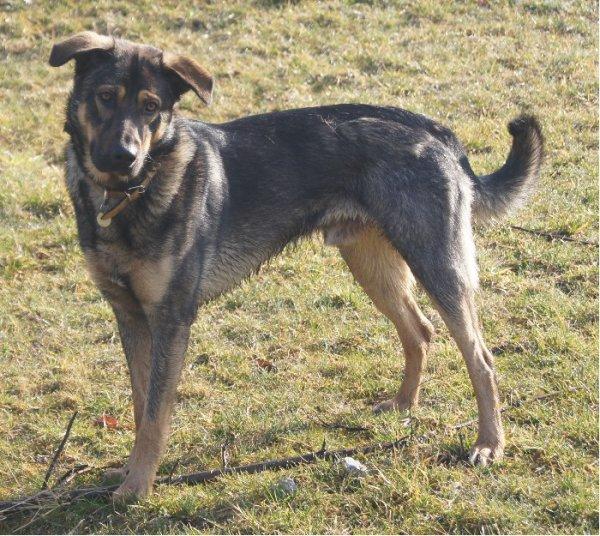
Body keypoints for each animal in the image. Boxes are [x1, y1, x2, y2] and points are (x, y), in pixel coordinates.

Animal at [48, 31, 544, 500]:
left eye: (150, 106)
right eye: (105, 96)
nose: (123, 156)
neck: (128, 195)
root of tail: (440, 133)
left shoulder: (171, 319)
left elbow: (154, 413)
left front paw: (137, 488)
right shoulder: (131, 315)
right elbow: (140, 404)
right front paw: (131, 471)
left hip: (436, 265)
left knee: (481, 358)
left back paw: (489, 444)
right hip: (372, 266)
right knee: (419, 331)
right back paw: (403, 405)